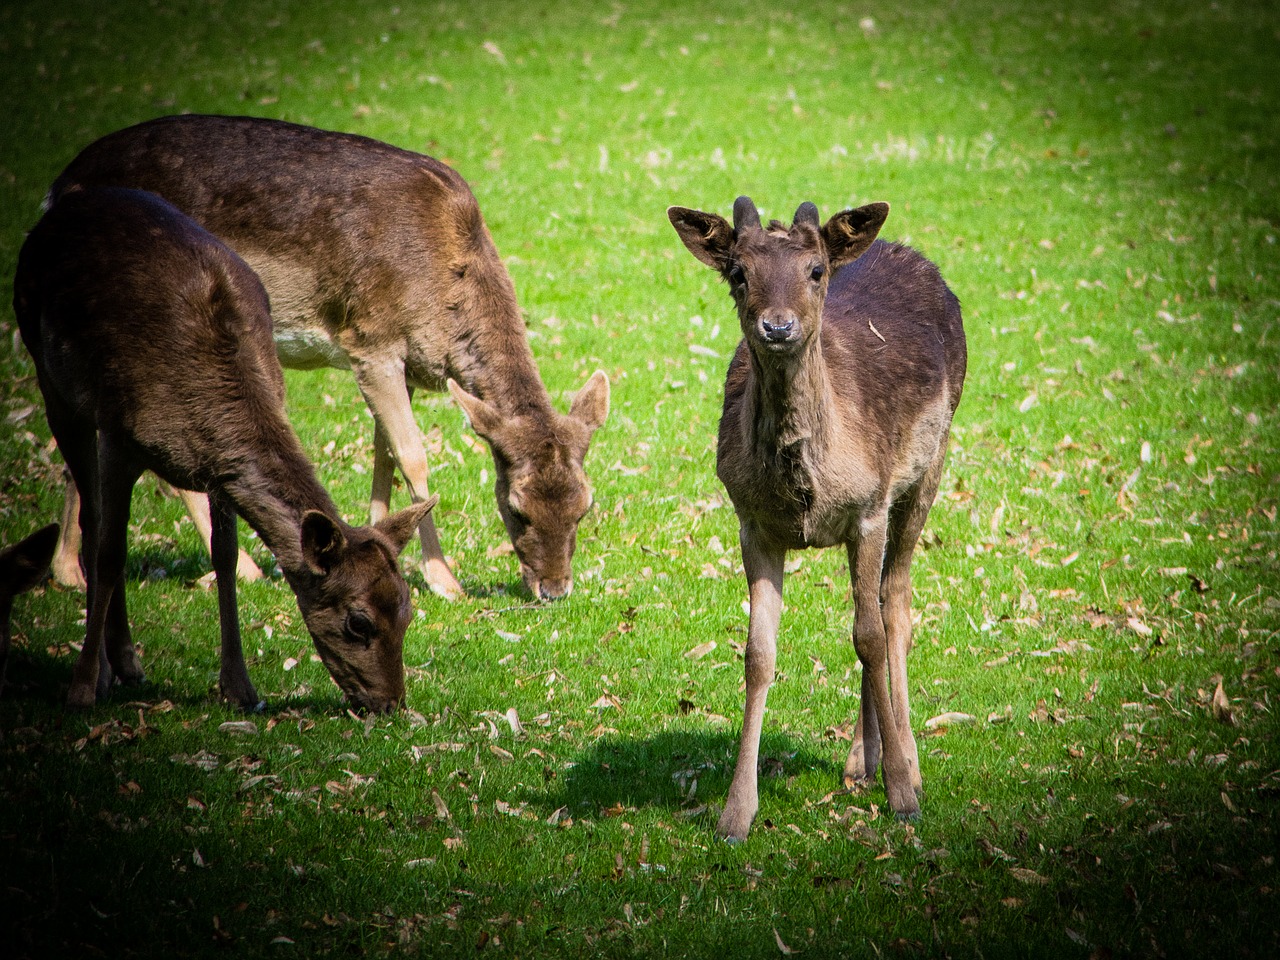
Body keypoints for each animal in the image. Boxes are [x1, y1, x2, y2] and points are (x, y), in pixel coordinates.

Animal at [16, 188, 435, 716]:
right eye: (359, 622)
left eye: (407, 609)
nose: (391, 702)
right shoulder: (116, 433)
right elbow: (111, 552)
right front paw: (83, 687)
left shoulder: (221, 472)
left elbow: (227, 556)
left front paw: (239, 687)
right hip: (53, 379)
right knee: (94, 525)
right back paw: (109, 669)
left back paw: (129, 663)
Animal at [48, 114, 609, 601]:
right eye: (517, 509)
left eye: (585, 506)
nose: (555, 590)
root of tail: (57, 186)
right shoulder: (371, 339)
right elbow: (414, 457)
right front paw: (444, 581)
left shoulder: (399, 362)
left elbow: (384, 453)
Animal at [665, 197, 962, 839]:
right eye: (738, 273)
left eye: (816, 271)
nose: (777, 327)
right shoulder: (751, 523)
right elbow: (758, 653)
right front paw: (736, 812)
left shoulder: (869, 508)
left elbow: (869, 636)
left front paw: (903, 796)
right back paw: (860, 761)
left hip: (930, 465)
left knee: (895, 603)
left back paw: (907, 762)